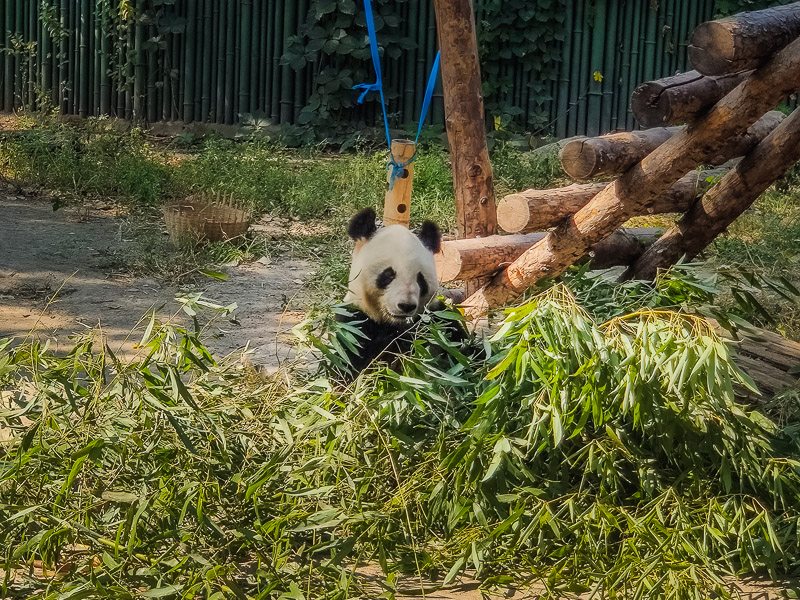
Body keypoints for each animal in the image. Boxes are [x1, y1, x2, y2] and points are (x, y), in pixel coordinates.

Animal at [332, 206, 468, 376]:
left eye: (420, 279)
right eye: (388, 275)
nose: (406, 305)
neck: (395, 324)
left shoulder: (438, 318)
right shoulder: (353, 325)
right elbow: (362, 367)